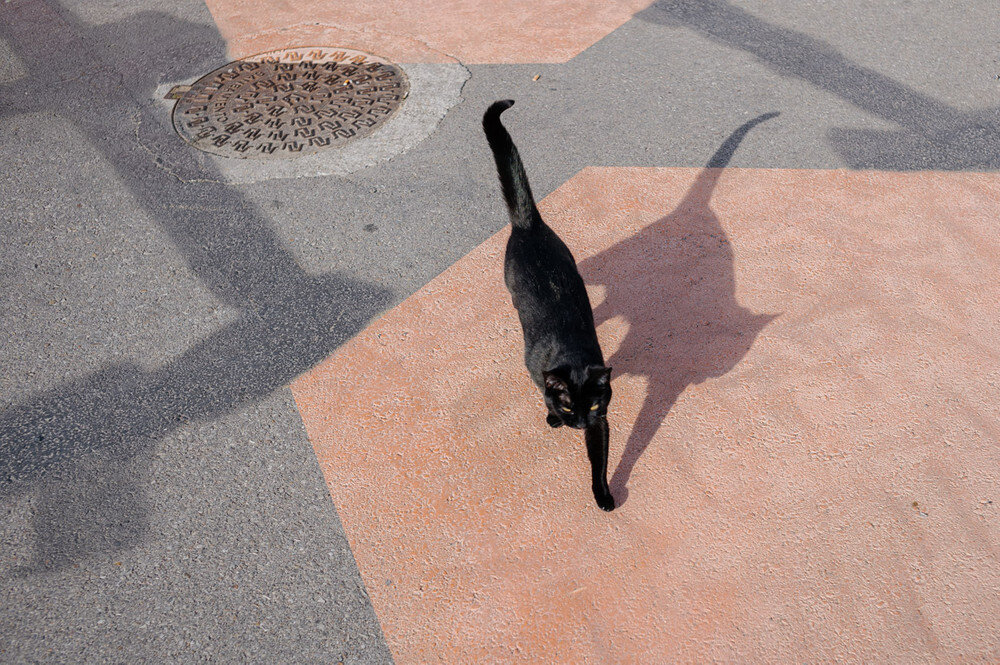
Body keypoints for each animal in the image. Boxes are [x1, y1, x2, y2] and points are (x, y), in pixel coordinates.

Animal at [482, 99, 615, 512]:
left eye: (590, 408)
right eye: (571, 407)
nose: (577, 423)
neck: (569, 353)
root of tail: (529, 225)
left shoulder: (602, 417)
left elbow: (599, 457)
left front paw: (604, 496)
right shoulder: (535, 371)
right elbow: (543, 393)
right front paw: (552, 414)